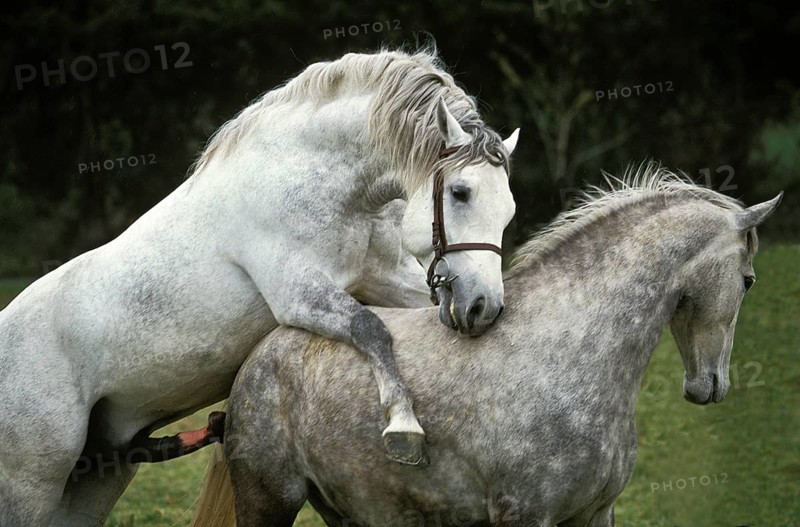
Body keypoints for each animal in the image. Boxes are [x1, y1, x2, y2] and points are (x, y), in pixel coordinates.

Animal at [0, 49, 520, 526]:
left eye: (508, 209)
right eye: (460, 192)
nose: (482, 307)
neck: (313, 178)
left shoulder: (387, 278)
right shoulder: (300, 296)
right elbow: (371, 329)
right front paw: (403, 427)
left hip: (97, 475)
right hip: (33, 485)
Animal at [191, 166, 781, 527]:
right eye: (749, 280)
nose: (711, 385)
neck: (569, 350)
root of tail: (260, 357)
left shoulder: (594, 513)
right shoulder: (524, 514)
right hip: (270, 499)